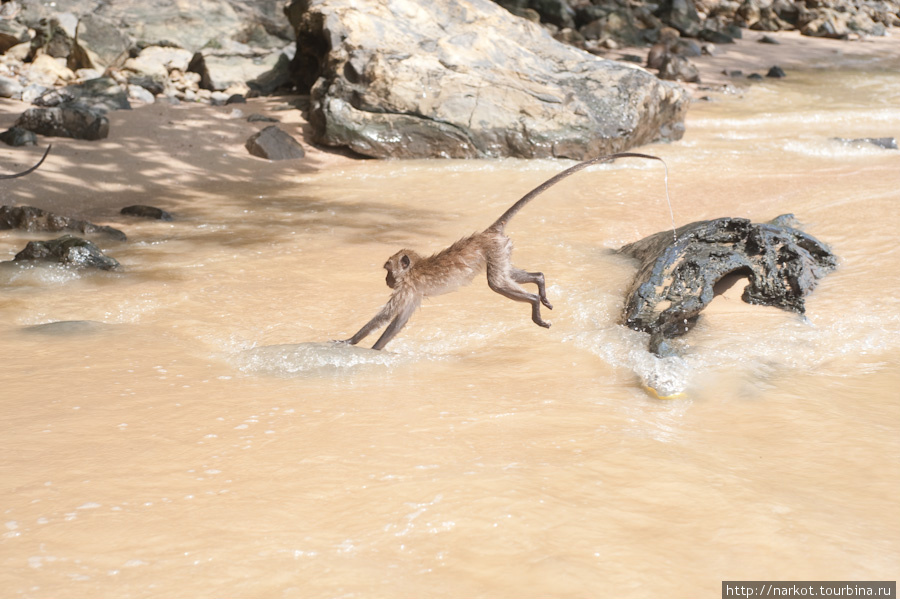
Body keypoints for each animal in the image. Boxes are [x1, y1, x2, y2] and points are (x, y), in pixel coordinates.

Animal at [338, 151, 668, 352]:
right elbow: (394, 320)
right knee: (512, 275)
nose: (386, 280)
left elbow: (389, 318)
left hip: (494, 250)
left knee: (496, 283)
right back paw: (540, 284)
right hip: (501, 250)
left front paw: (359, 343)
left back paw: (534, 301)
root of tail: (488, 233)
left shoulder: (408, 289)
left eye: (388, 270)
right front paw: (365, 347)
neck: (413, 268)